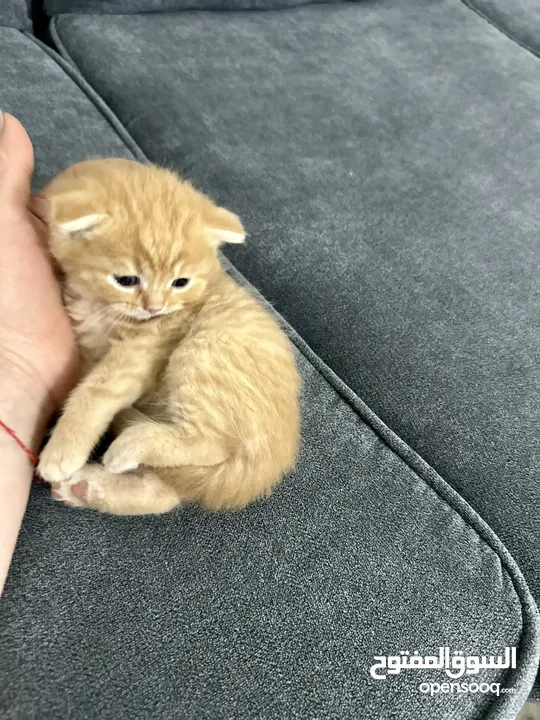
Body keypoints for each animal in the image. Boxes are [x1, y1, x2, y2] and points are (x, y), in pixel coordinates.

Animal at [36, 160, 302, 516]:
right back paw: (87, 487)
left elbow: (97, 391)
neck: (100, 307)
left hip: (205, 351)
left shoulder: (145, 349)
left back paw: (130, 444)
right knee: (163, 491)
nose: (155, 307)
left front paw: (62, 450)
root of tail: (268, 463)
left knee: (210, 444)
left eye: (180, 282)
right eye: (126, 280)